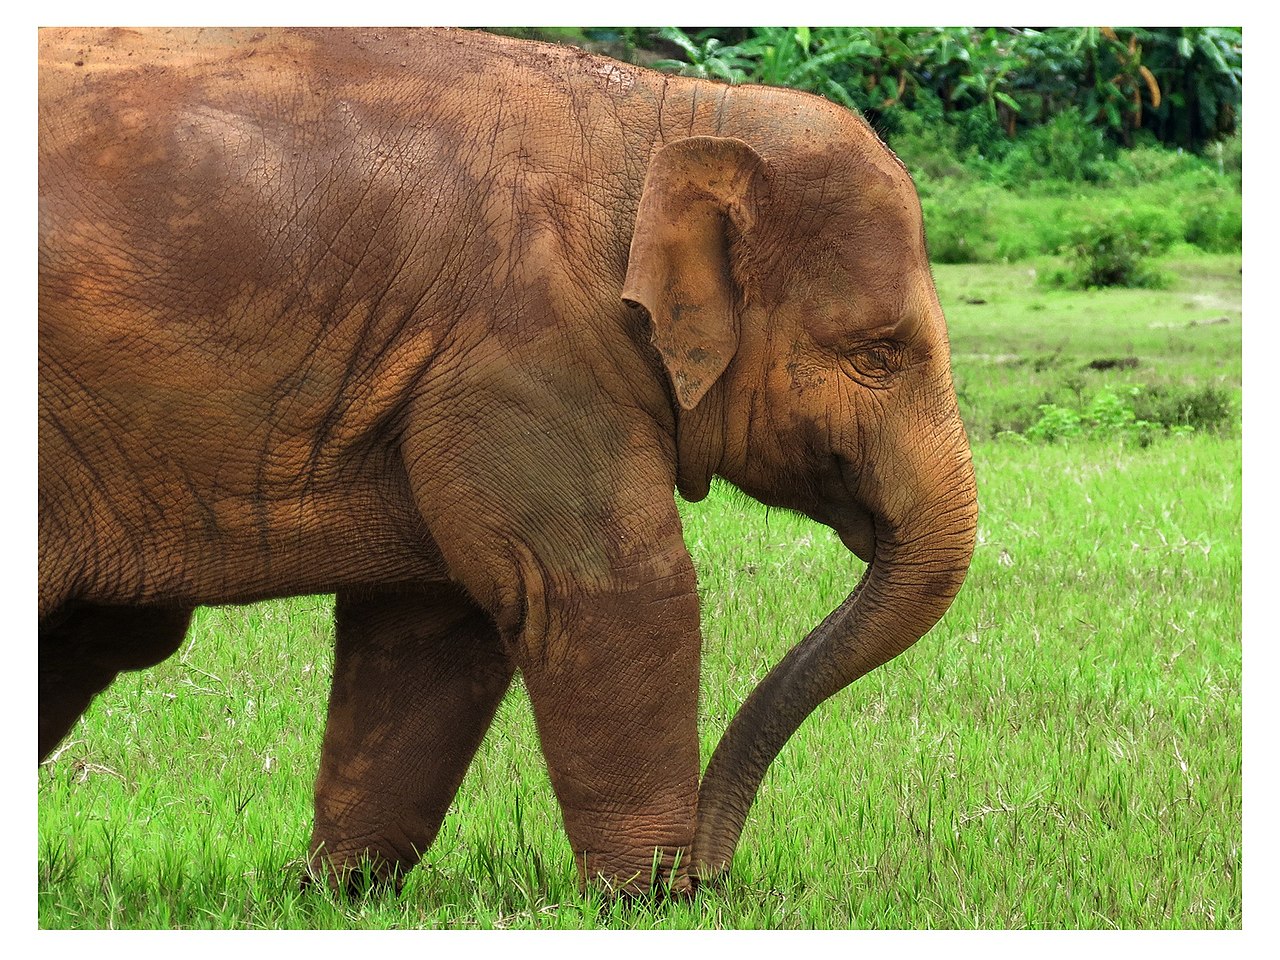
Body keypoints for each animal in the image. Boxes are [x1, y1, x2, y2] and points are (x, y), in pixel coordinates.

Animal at [38, 26, 978, 897]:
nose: (714, 875)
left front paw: (339, 891)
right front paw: (646, 901)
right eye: (878, 354)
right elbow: (607, 591)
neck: (681, 113)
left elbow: (432, 624)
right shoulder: (528, 348)